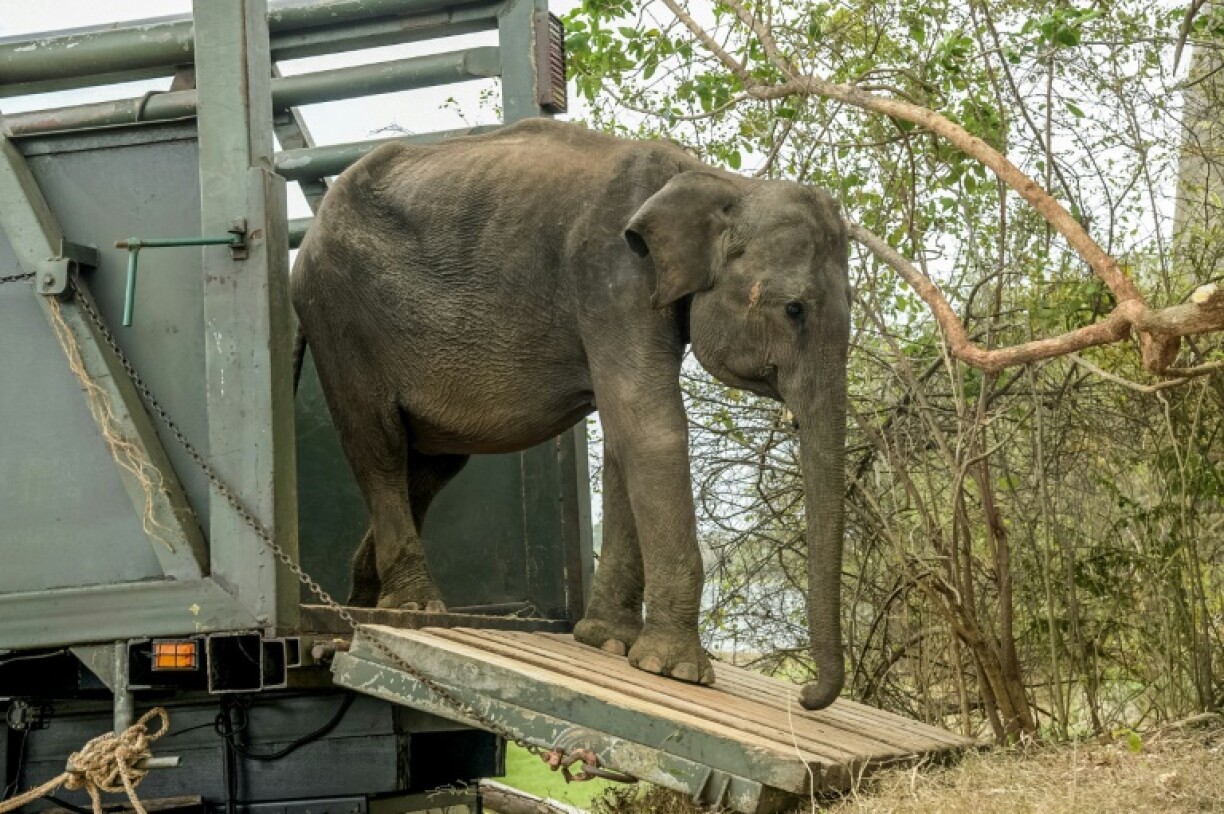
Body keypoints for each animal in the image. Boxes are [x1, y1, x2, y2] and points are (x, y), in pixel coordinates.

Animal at [291, 118, 850, 710]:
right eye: (794, 309)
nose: (806, 696)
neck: (723, 182)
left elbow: (625, 437)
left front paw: (607, 642)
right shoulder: (609, 279)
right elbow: (650, 427)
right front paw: (677, 671)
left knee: (429, 464)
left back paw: (366, 604)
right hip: (340, 316)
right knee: (379, 445)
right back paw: (415, 609)